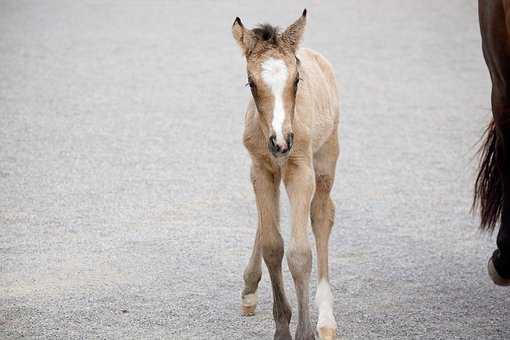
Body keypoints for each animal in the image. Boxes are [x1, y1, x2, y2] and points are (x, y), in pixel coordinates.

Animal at [233, 10, 340, 340]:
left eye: (296, 80)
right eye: (251, 83)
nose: (281, 142)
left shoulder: (300, 170)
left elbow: (300, 253)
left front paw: (304, 331)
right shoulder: (260, 169)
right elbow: (273, 245)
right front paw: (282, 326)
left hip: (326, 157)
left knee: (322, 214)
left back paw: (326, 320)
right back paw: (249, 289)